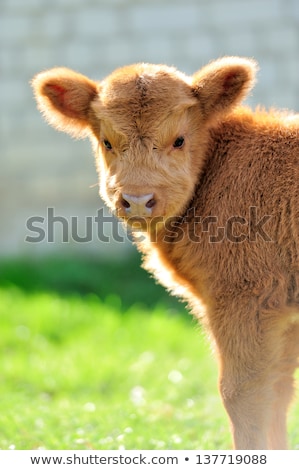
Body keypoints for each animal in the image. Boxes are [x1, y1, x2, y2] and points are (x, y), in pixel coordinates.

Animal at [31, 57, 298, 450]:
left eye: (179, 140)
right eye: (107, 142)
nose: (138, 200)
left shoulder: (245, 297)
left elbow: (243, 393)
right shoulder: (283, 311)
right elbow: (279, 393)